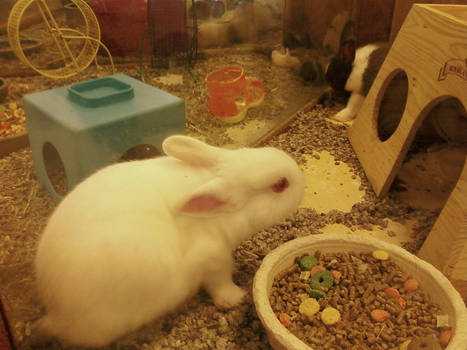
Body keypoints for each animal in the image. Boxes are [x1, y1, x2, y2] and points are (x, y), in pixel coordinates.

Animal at [32, 135, 304, 348]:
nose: (301, 178)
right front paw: (236, 297)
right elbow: (220, 284)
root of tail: (54, 314)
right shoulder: (213, 260)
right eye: (280, 185)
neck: (215, 215)